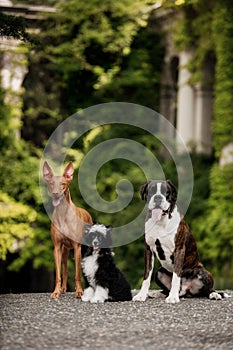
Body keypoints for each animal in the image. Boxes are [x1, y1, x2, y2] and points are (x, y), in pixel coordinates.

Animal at [43, 161, 92, 298]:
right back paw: (63, 288)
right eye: (51, 184)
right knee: (65, 269)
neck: (62, 212)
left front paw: (79, 291)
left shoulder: (77, 247)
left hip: (86, 249)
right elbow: (59, 273)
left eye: (63, 184)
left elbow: (77, 274)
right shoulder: (57, 247)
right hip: (65, 251)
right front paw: (56, 291)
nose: (55, 193)